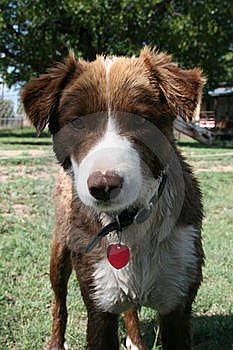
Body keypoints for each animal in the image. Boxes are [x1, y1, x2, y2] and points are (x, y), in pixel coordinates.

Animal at [21, 47, 204, 350]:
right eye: (77, 122)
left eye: (141, 119)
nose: (104, 185)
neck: (129, 222)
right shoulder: (99, 307)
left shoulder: (178, 305)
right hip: (59, 252)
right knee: (59, 304)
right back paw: (56, 342)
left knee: (130, 307)